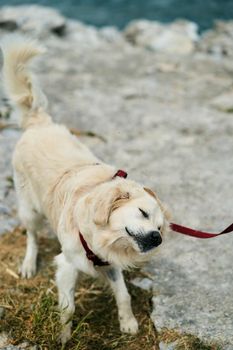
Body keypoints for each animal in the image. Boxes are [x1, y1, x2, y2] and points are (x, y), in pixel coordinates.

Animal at [0, 36, 167, 344]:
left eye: (161, 228)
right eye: (142, 213)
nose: (156, 238)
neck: (103, 236)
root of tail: (39, 122)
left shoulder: (110, 264)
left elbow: (123, 295)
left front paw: (128, 322)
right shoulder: (67, 265)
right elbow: (68, 307)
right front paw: (64, 335)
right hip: (29, 208)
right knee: (32, 236)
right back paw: (29, 264)